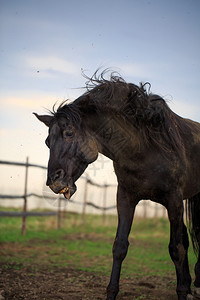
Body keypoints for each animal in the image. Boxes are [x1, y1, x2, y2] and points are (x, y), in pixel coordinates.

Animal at [34, 71, 200, 298]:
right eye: (47, 142)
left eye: (69, 133)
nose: (53, 181)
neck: (146, 147)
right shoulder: (126, 198)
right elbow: (120, 246)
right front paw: (111, 292)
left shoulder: (173, 200)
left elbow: (176, 249)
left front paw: (182, 291)